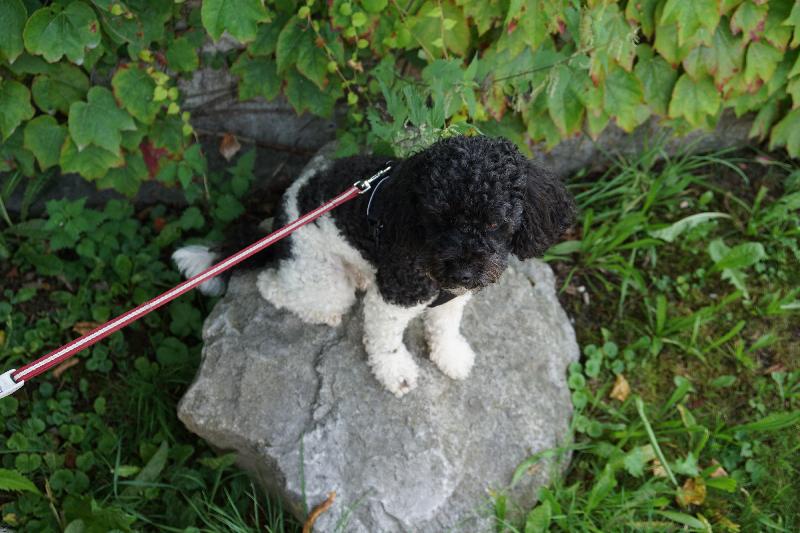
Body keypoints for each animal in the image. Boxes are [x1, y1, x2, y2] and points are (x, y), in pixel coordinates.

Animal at [173, 136, 576, 396]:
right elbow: (387, 343)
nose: (463, 272)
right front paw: (396, 373)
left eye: (494, 222)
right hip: (321, 278)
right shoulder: (396, 295)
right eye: (436, 218)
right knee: (272, 286)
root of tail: (277, 228)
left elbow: (445, 326)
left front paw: (450, 355)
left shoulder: (454, 296)